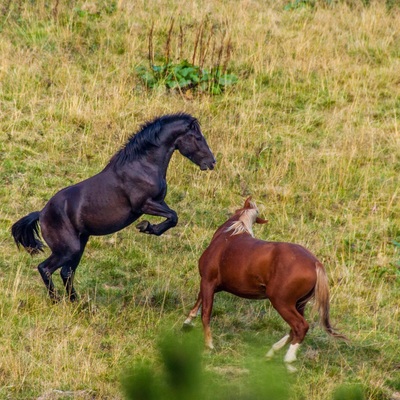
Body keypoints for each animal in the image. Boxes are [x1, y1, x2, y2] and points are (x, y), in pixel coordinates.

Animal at [10, 111, 216, 300]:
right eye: (198, 137)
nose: (211, 162)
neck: (142, 166)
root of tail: (41, 213)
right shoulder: (144, 204)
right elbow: (173, 216)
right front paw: (146, 227)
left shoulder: (158, 201)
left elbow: (172, 216)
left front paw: (148, 227)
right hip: (68, 249)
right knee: (45, 268)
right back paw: (56, 300)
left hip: (79, 245)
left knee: (66, 272)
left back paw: (77, 303)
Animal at [184, 197, 346, 372]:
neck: (229, 235)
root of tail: (315, 263)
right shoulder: (210, 285)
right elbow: (199, 302)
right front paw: (186, 324)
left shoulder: (208, 281)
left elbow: (205, 313)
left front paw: (208, 345)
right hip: (298, 304)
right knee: (294, 329)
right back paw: (272, 352)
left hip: (281, 302)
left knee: (301, 326)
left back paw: (288, 360)